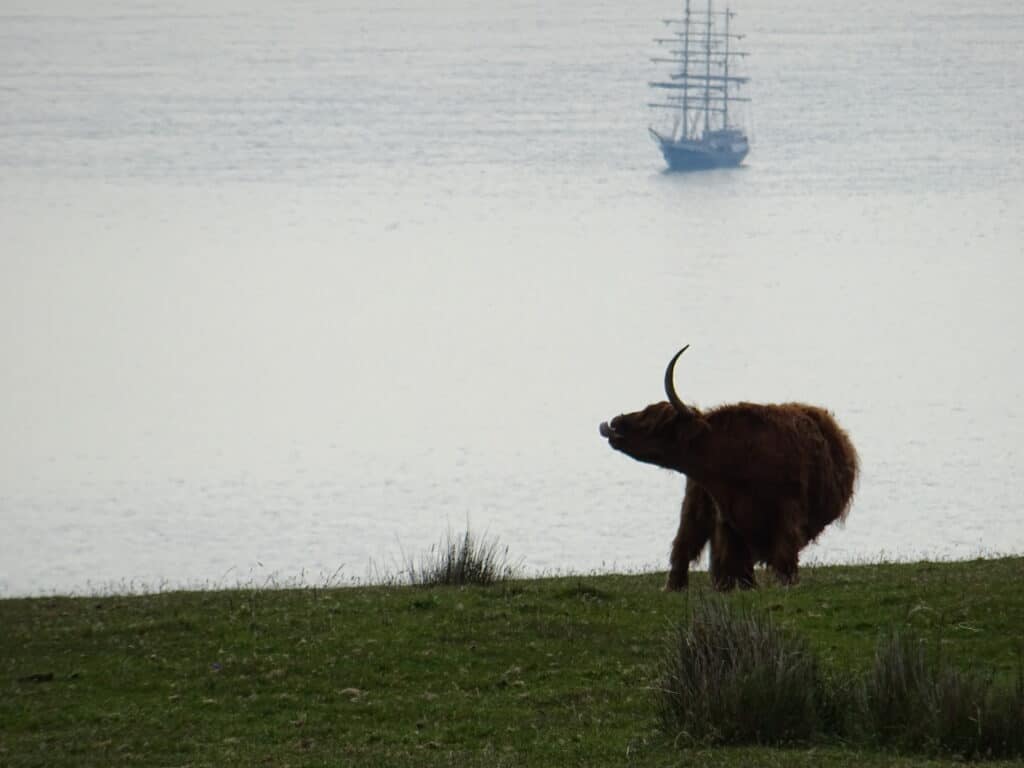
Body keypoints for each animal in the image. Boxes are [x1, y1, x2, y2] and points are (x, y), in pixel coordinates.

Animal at [599, 346, 858, 591]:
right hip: (694, 508)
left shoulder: (787, 515)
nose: (615, 423)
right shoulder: (727, 519)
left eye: (657, 424)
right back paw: (676, 587)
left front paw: (783, 584)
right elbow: (732, 560)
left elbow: (782, 557)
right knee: (683, 547)